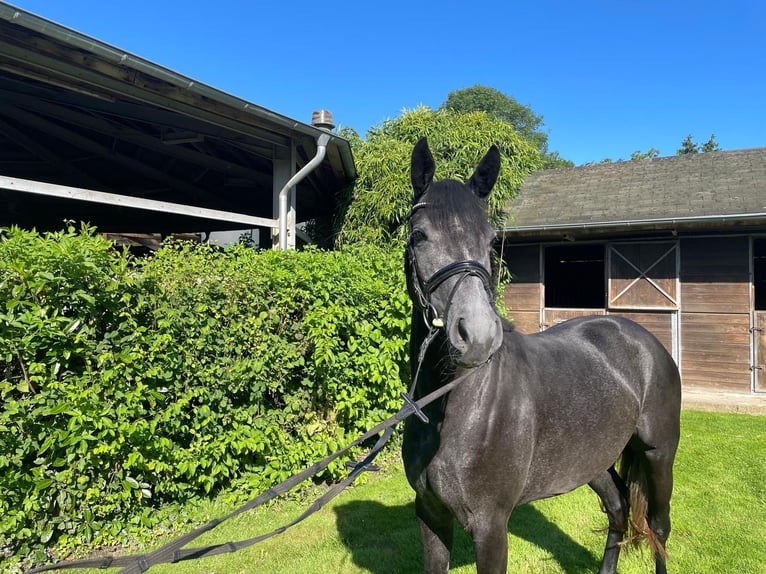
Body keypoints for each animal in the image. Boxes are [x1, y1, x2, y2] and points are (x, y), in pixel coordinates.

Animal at [404, 140, 680, 574]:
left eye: (491, 241)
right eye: (419, 235)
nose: (478, 335)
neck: (451, 407)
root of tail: (641, 338)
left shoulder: (490, 527)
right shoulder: (430, 514)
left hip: (659, 454)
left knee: (658, 526)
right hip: (593, 460)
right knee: (618, 508)